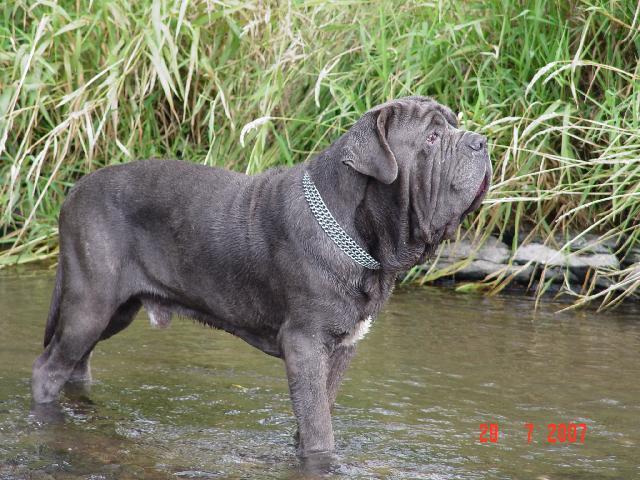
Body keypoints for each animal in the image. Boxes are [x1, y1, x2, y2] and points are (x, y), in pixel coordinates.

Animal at [31, 96, 490, 458]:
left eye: (454, 123)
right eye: (432, 139)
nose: (481, 141)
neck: (358, 232)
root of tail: (73, 193)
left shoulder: (340, 348)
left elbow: (318, 412)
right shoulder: (305, 343)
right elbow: (319, 426)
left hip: (115, 312)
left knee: (76, 361)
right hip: (91, 303)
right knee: (48, 367)